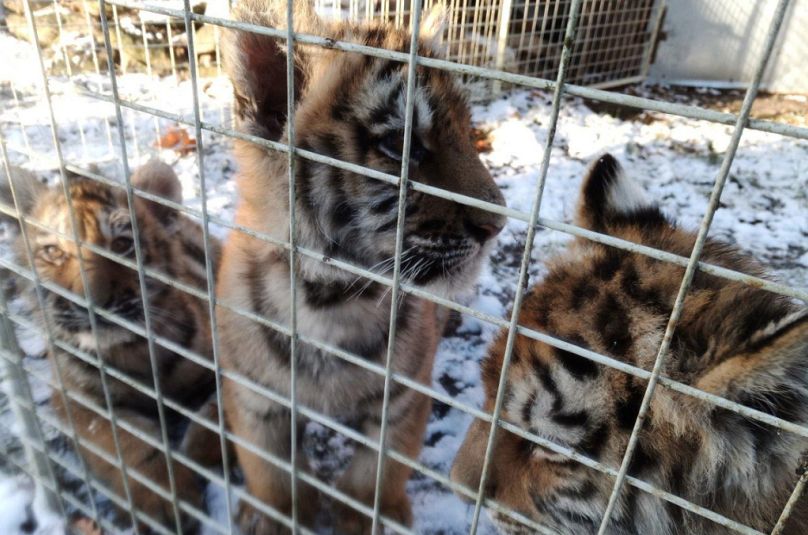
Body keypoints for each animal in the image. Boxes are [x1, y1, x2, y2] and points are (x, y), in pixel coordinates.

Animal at [0, 160, 222, 532]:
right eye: (52, 252)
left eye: (121, 245)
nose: (90, 303)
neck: (132, 352)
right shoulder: (80, 401)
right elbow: (128, 443)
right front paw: (166, 502)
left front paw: (198, 454)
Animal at [216, 0, 505, 532]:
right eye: (400, 146)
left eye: (468, 132)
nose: (497, 224)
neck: (330, 298)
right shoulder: (255, 398)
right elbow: (271, 473)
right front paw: (273, 515)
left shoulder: (405, 398)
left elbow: (375, 473)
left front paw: (373, 515)